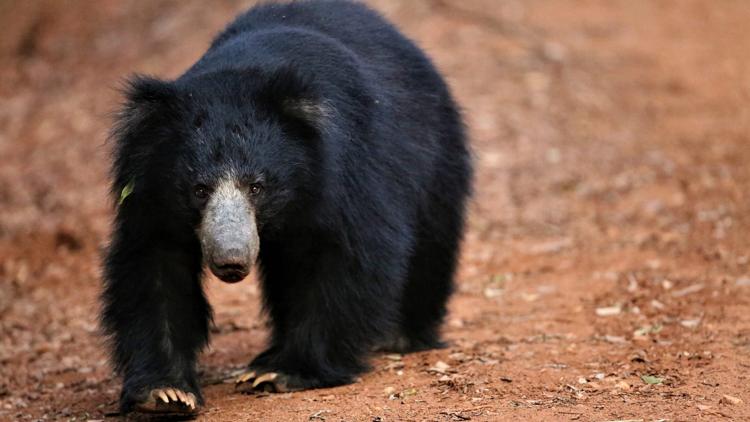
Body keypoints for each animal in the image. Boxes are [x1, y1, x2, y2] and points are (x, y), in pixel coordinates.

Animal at [103, 0, 472, 416]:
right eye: (199, 189)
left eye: (257, 186)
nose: (231, 261)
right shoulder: (149, 191)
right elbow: (153, 268)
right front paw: (165, 392)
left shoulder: (348, 170)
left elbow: (348, 256)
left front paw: (281, 372)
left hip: (433, 155)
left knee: (429, 244)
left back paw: (399, 336)